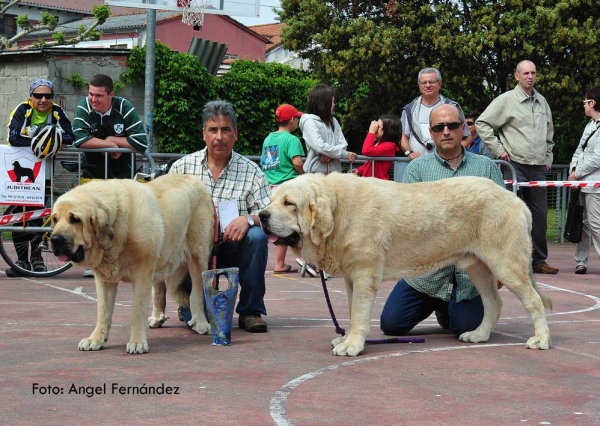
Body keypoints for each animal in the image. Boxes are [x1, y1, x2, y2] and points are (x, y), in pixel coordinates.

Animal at [51, 173, 216, 352]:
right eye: (54, 219)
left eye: (75, 219)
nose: (54, 238)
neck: (117, 226)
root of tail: (193, 178)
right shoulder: (105, 279)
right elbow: (103, 311)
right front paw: (96, 339)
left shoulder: (142, 275)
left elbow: (137, 311)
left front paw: (137, 342)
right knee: (159, 290)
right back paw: (157, 317)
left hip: (197, 255)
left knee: (197, 292)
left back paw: (200, 323)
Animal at [258, 173, 552, 356]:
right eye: (271, 201)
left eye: (289, 203)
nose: (261, 215)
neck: (339, 210)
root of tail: (516, 200)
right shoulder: (352, 277)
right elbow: (352, 312)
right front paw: (347, 337)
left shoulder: (364, 274)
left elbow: (359, 314)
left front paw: (352, 345)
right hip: (478, 267)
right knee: (494, 303)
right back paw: (479, 335)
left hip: (506, 264)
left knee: (534, 302)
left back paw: (541, 339)